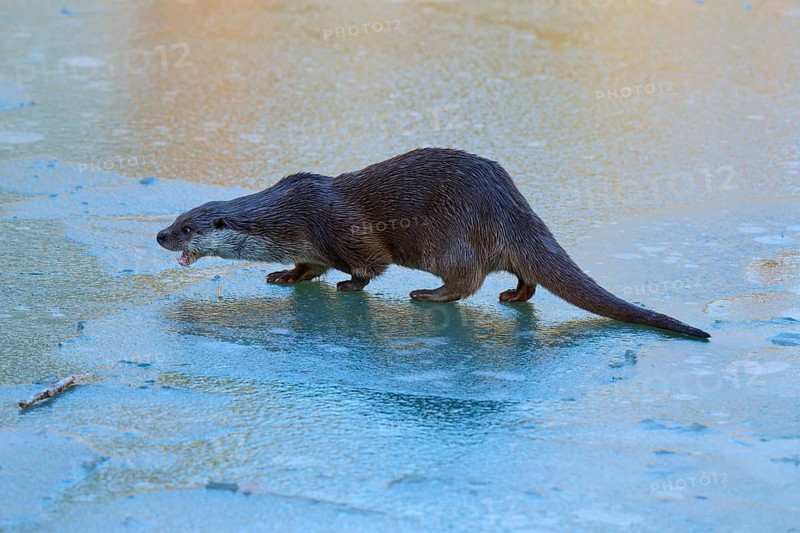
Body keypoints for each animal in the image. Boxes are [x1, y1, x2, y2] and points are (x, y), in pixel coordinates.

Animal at [157, 148, 710, 339]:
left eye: (187, 227)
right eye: (176, 218)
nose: (159, 235)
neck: (290, 217)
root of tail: (513, 205)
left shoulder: (339, 227)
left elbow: (367, 266)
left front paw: (349, 287)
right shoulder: (310, 245)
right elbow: (307, 267)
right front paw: (283, 275)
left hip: (451, 241)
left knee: (467, 280)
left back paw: (427, 295)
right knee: (523, 273)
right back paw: (514, 296)